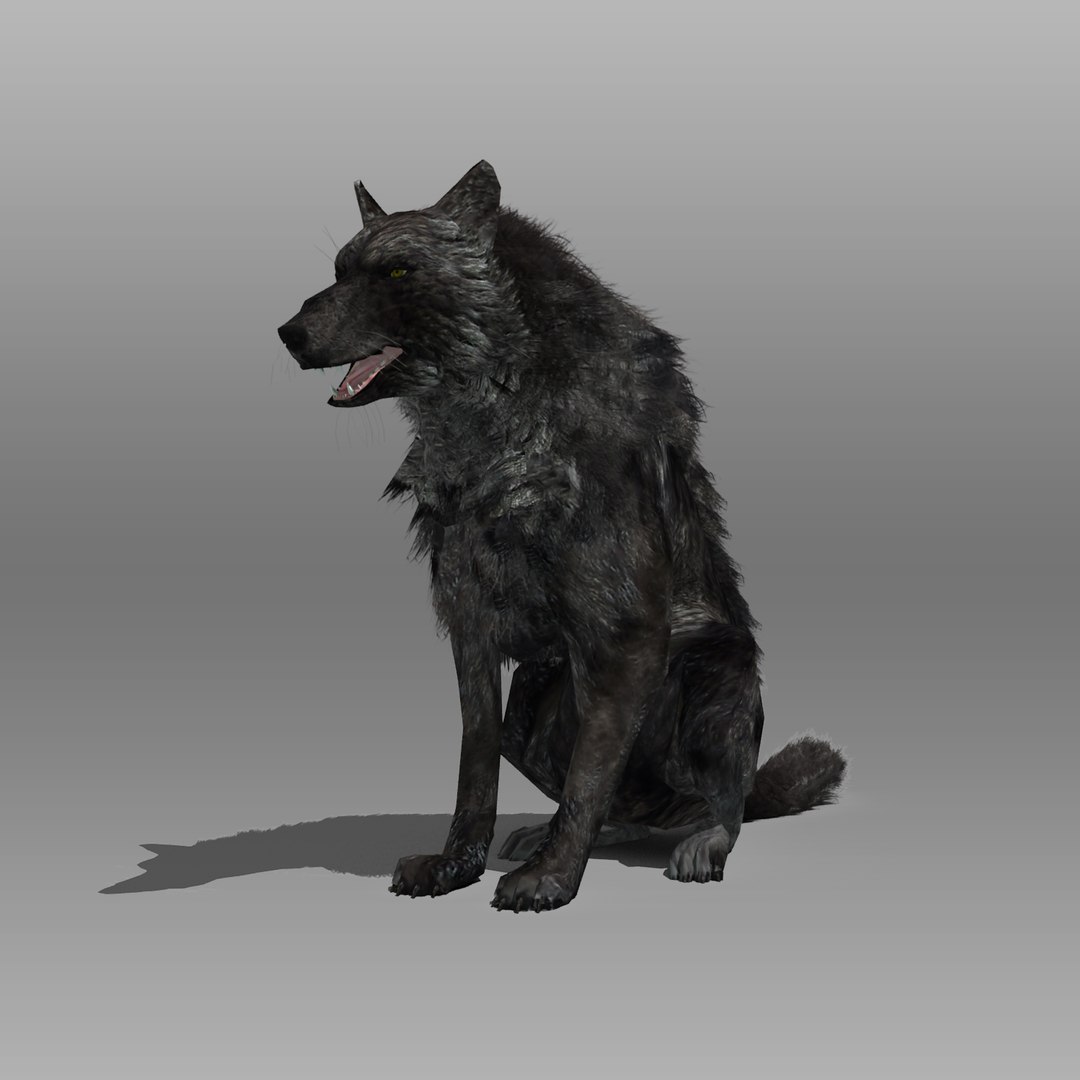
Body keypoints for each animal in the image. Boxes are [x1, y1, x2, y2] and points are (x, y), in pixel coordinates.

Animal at [277, 161, 846, 912]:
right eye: (340, 272)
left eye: (396, 271)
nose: (286, 332)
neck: (494, 418)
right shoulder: (471, 631)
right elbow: (476, 770)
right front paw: (457, 866)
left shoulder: (629, 635)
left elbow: (588, 777)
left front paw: (552, 878)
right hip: (532, 710)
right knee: (625, 802)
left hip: (708, 680)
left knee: (725, 805)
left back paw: (700, 841)